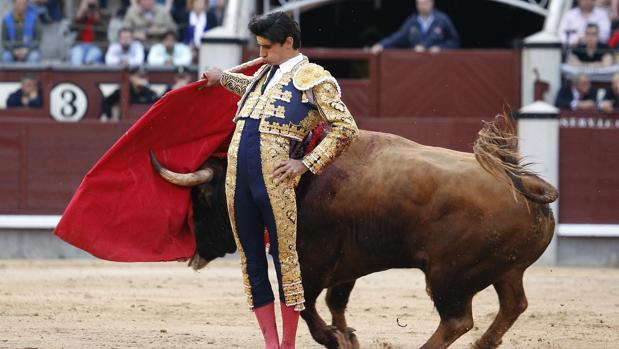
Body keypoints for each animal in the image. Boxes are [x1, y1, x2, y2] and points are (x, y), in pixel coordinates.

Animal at [151, 115, 560, 348]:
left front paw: (337, 339)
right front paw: (348, 336)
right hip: (505, 269)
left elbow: (306, 307)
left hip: (449, 275)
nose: (193, 254)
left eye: (202, 199)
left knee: (458, 319)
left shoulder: (311, 262)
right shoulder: (346, 265)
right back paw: (482, 345)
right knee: (513, 305)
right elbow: (336, 302)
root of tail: (520, 181)